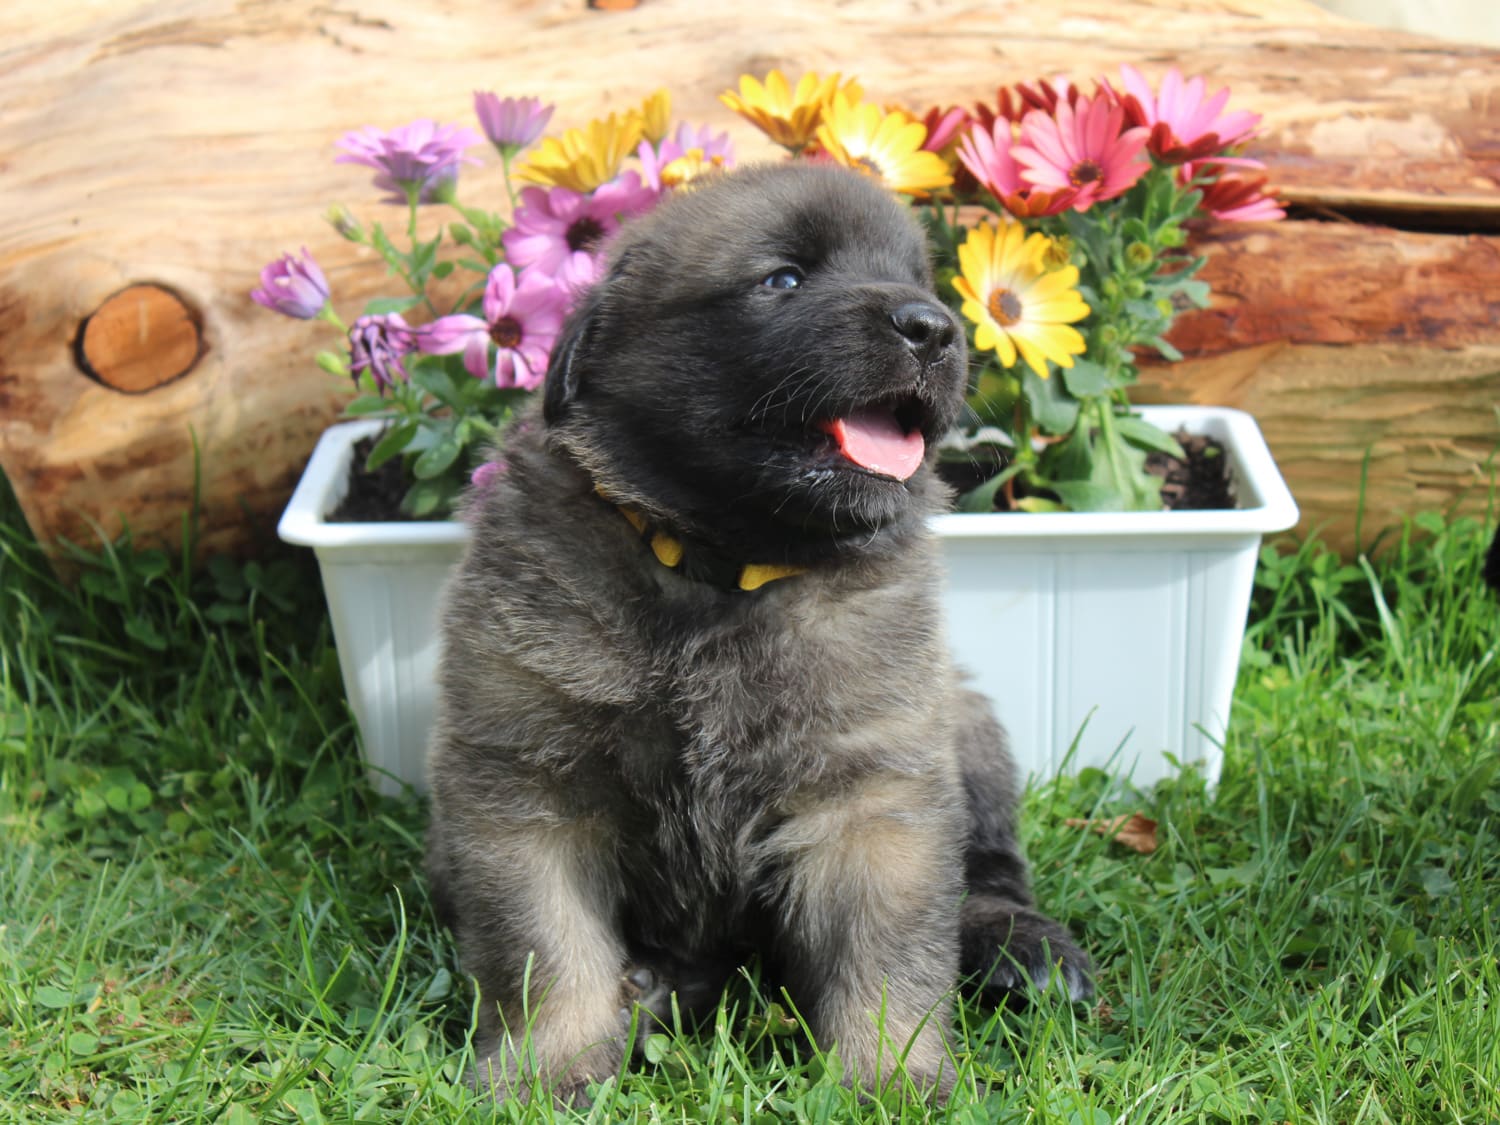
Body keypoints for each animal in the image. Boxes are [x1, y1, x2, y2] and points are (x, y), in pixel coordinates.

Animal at [423, 162, 1092, 1104]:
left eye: (921, 284)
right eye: (784, 279)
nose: (934, 328)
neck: (724, 570)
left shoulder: (870, 792)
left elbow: (887, 956)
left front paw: (890, 1077)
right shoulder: (526, 783)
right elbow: (546, 949)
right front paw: (546, 1069)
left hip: (963, 719)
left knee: (995, 870)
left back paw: (1022, 952)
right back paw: (651, 990)